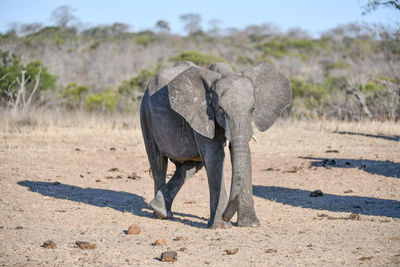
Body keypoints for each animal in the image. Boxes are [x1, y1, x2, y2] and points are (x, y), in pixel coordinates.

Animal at [139, 60, 292, 228]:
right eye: (221, 110)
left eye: (252, 109)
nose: (226, 217)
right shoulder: (202, 115)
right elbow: (215, 157)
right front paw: (221, 226)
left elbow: (245, 155)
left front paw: (250, 225)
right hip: (145, 113)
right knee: (158, 163)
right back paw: (161, 215)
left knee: (189, 166)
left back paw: (159, 209)